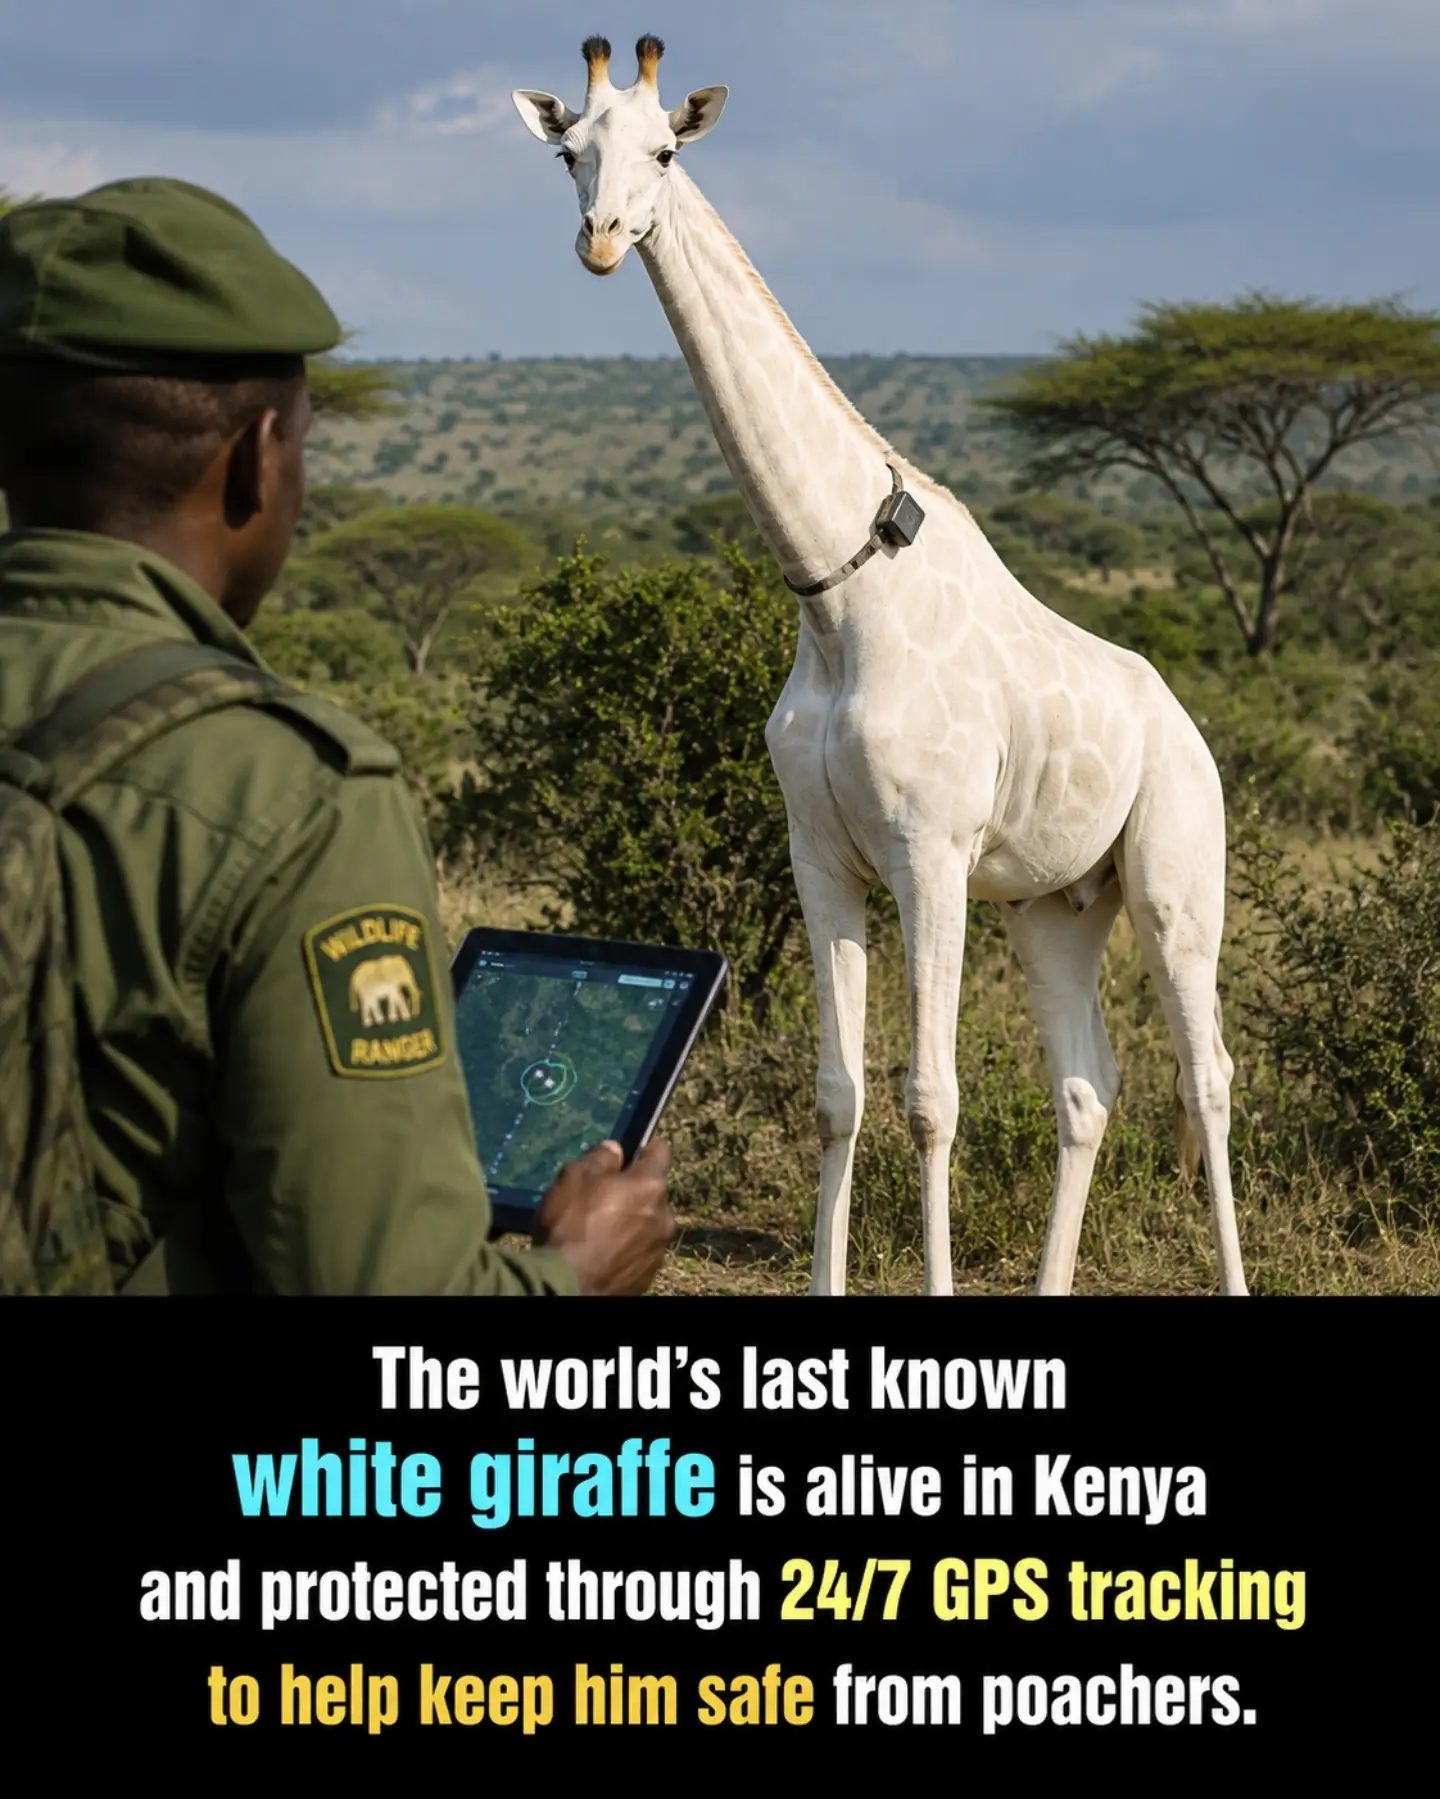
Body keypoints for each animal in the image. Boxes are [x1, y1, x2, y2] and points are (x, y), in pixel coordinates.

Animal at [513, 35, 1248, 1298]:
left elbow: (930, 1100)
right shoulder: (821, 856)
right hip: (1056, 908)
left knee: (1209, 1076)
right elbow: (837, 1095)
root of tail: (1189, 725)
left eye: (665, 151)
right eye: (570, 153)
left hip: (1171, 878)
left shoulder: (931, 854)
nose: (604, 238)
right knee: (1088, 1085)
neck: (841, 597)